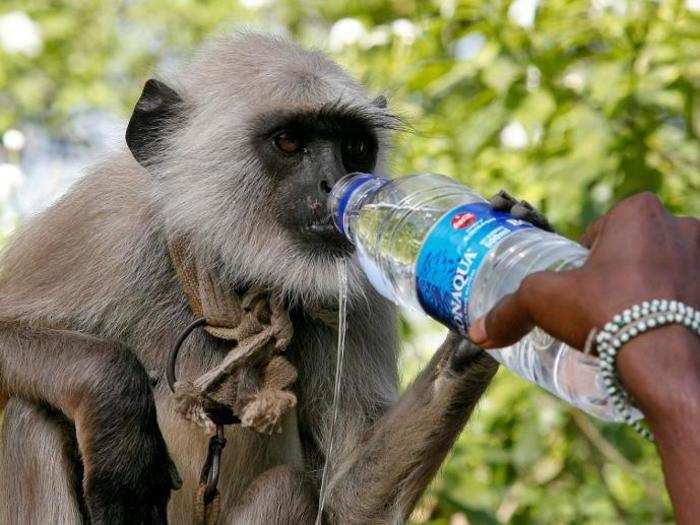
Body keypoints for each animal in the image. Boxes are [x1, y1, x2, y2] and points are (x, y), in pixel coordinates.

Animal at [0, 33, 548, 524]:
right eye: (289, 142)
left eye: (353, 146)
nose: (336, 183)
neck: (227, 282)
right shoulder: (105, 223)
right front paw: (119, 426)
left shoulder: (356, 289)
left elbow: (347, 503)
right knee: (32, 416)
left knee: (290, 489)